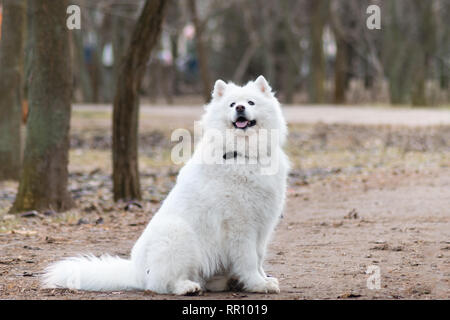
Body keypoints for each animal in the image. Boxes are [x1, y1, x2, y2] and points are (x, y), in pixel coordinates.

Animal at [42, 75, 288, 296]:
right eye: (231, 104)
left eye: (251, 102)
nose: (239, 108)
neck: (243, 154)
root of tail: (135, 272)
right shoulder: (240, 225)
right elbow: (248, 259)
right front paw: (257, 284)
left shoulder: (263, 225)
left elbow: (259, 256)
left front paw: (264, 279)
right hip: (178, 233)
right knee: (161, 284)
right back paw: (187, 287)